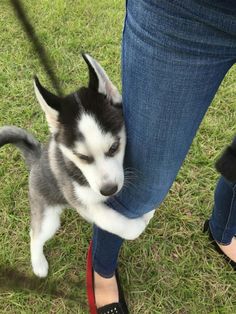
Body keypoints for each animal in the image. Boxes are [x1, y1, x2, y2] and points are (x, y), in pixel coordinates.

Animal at [0, 54, 153, 278]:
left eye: (114, 147)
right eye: (81, 156)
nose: (109, 190)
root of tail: (36, 159)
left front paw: (147, 214)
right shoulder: (83, 203)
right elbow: (114, 222)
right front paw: (139, 224)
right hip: (47, 215)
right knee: (35, 233)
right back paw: (38, 264)